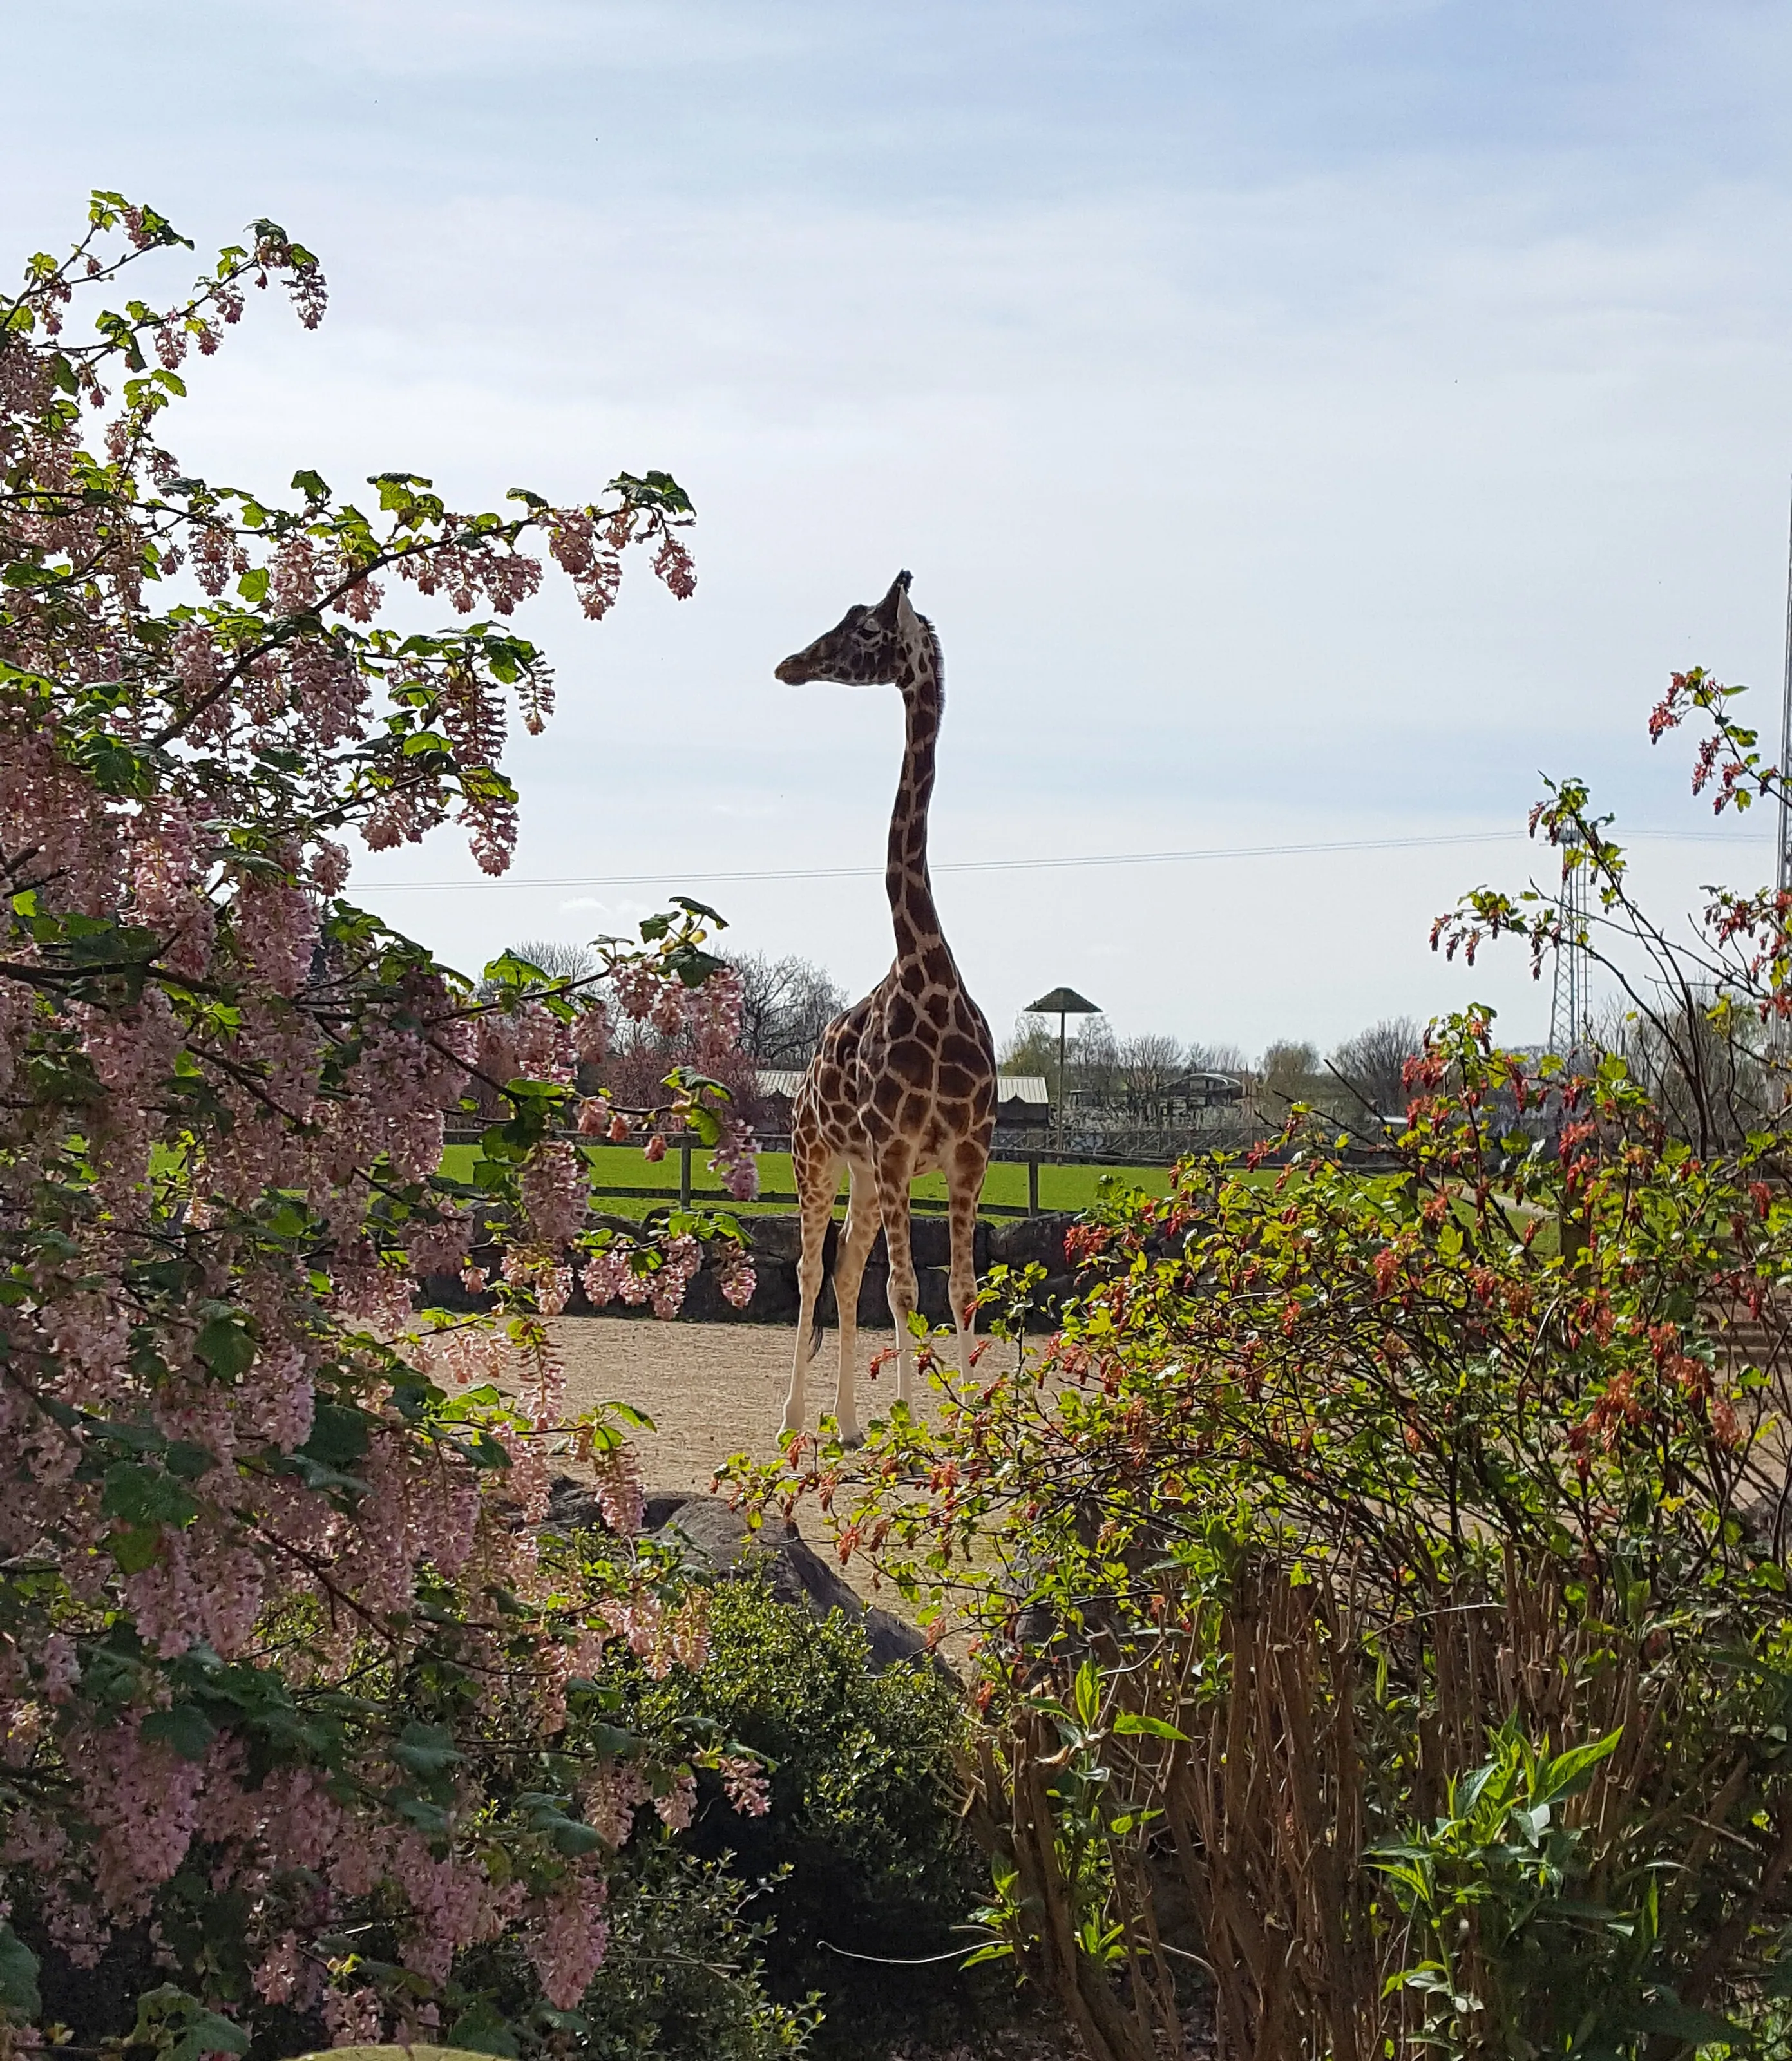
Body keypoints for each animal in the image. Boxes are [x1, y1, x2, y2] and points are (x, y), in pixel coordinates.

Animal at [773, 570, 997, 1444]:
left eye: (866, 629)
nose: (790, 664)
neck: (926, 970)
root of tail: (800, 1083)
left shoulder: (968, 1153)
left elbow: (958, 1290)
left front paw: (973, 1430)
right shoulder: (900, 1151)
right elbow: (906, 1291)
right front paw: (911, 1415)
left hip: (862, 1177)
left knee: (844, 1268)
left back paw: (845, 1423)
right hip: (814, 1156)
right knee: (811, 1268)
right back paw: (794, 1422)